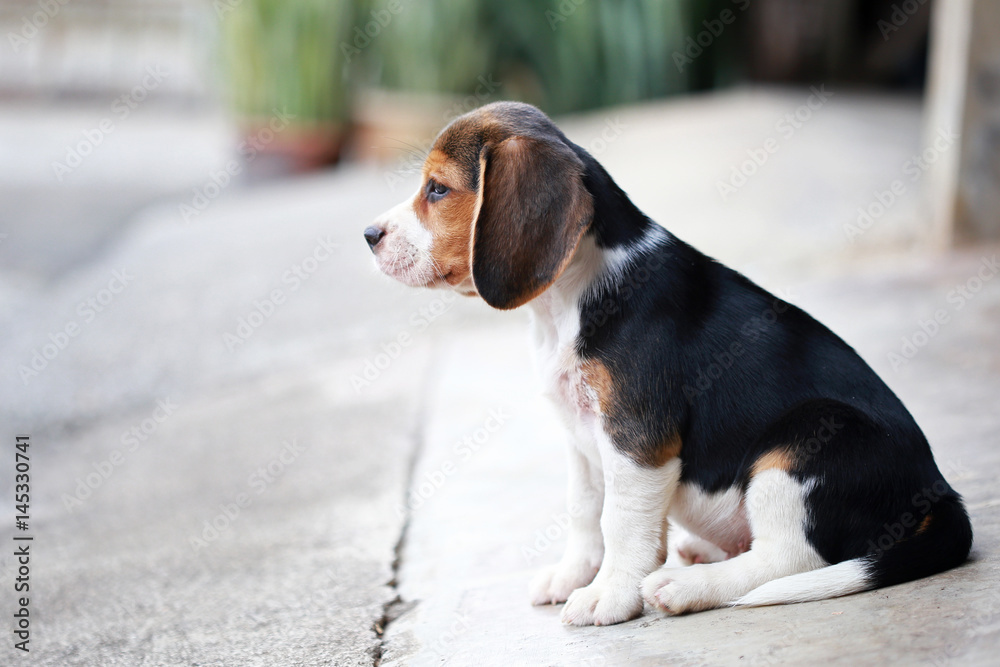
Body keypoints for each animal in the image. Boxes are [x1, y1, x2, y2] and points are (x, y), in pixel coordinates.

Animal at [364, 100, 972, 628]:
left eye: (437, 189)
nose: (368, 235)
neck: (567, 296)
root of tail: (939, 490)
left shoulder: (637, 438)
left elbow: (620, 521)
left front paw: (609, 594)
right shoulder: (580, 437)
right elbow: (584, 510)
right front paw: (573, 575)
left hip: (804, 439)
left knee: (790, 560)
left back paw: (686, 586)